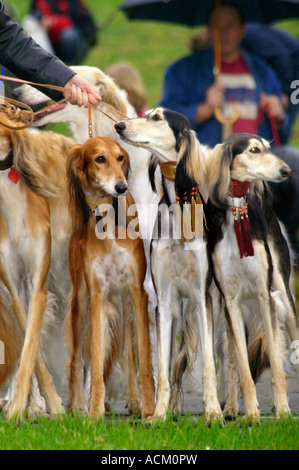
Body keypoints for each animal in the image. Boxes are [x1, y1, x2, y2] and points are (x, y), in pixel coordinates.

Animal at [65, 136, 155, 418]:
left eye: (120, 157)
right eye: (99, 159)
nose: (121, 187)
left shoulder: (137, 293)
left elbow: (143, 359)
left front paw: (149, 408)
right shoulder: (98, 296)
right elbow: (94, 362)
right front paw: (94, 412)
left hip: (125, 305)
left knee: (126, 352)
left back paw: (135, 400)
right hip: (81, 303)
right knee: (76, 358)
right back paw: (77, 405)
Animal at [116, 108, 224, 424]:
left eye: (157, 118)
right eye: (145, 114)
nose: (119, 125)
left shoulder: (202, 298)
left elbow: (208, 366)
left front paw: (213, 411)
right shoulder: (163, 301)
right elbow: (162, 367)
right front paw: (160, 413)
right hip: (176, 308)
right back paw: (174, 407)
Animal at [206, 134, 299, 420]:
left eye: (269, 147)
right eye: (254, 150)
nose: (286, 170)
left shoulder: (264, 295)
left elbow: (277, 363)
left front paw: (283, 412)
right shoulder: (231, 301)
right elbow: (243, 367)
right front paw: (252, 415)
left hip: (283, 293)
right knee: (232, 357)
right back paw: (232, 407)